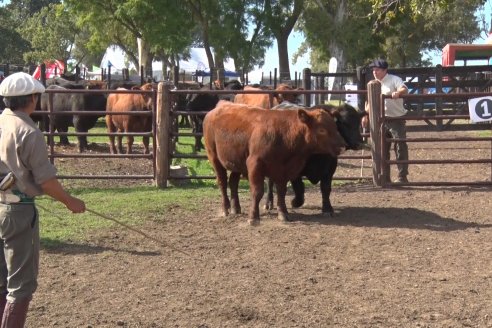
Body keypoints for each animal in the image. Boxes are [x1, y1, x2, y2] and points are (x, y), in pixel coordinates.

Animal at [202, 100, 344, 226]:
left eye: (335, 127)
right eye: (322, 130)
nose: (342, 146)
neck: (283, 135)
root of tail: (218, 107)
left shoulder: (284, 169)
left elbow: (281, 191)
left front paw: (283, 214)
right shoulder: (255, 164)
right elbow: (257, 192)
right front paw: (253, 218)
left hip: (237, 162)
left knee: (233, 182)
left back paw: (235, 208)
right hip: (214, 157)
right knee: (222, 183)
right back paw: (225, 209)